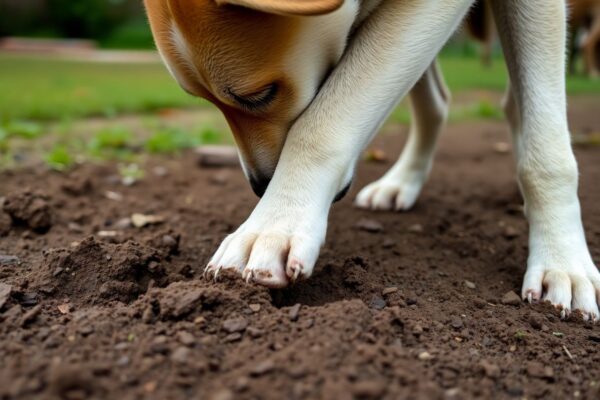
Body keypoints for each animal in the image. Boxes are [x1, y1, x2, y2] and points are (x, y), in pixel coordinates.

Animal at [145, 0, 600, 318]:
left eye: (259, 95)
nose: (260, 185)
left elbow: (323, 121)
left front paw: (562, 260)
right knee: (438, 103)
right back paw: (402, 182)